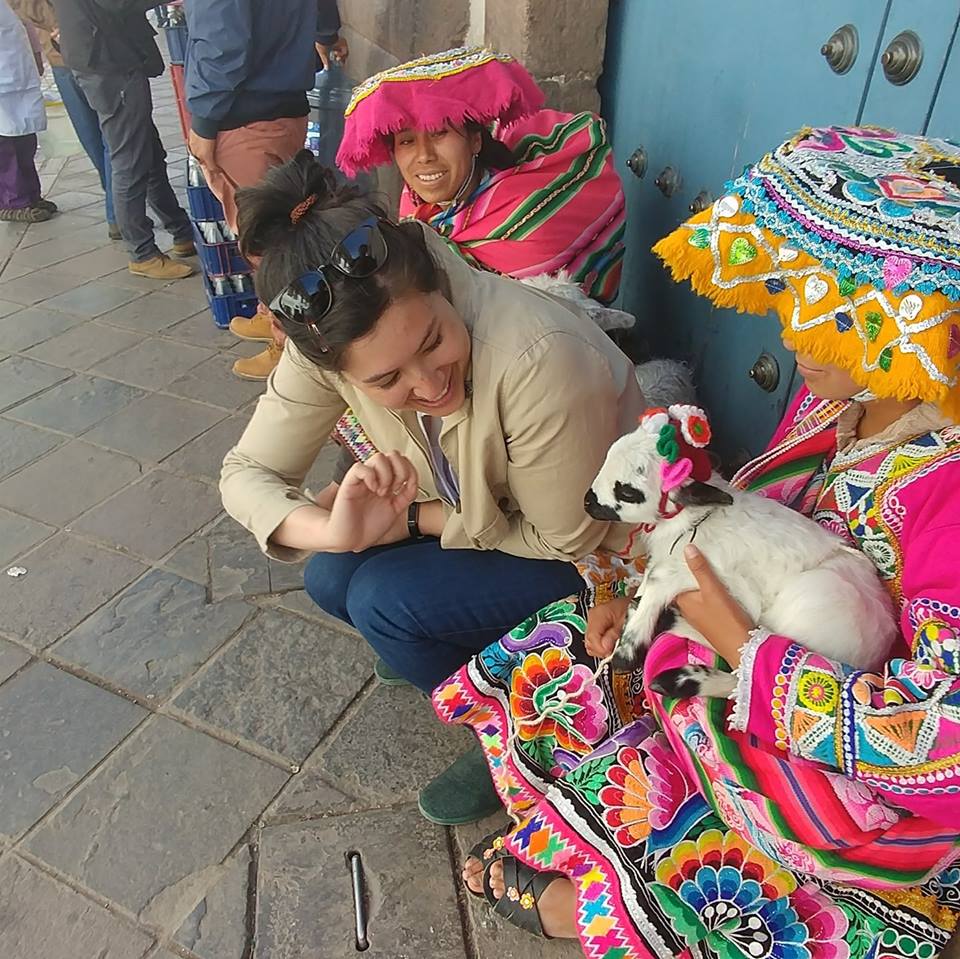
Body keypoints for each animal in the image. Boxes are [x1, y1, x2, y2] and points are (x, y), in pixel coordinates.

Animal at [584, 406, 900, 696]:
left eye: (627, 491)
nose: (587, 501)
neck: (695, 521)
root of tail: (878, 649)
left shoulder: (722, 581)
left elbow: (658, 584)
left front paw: (627, 650)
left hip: (806, 605)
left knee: (747, 659)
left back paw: (681, 678)